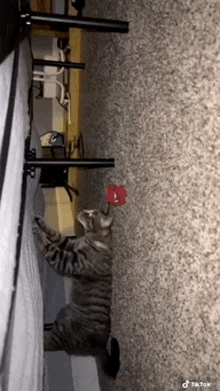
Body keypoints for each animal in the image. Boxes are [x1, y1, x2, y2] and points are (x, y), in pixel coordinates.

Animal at [32, 211, 120, 380]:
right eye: (89, 211)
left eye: (91, 215)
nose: (82, 211)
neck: (92, 239)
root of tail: (100, 346)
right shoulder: (71, 244)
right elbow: (57, 235)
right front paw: (39, 222)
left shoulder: (67, 260)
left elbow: (50, 247)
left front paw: (38, 233)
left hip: (61, 335)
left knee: (46, 343)